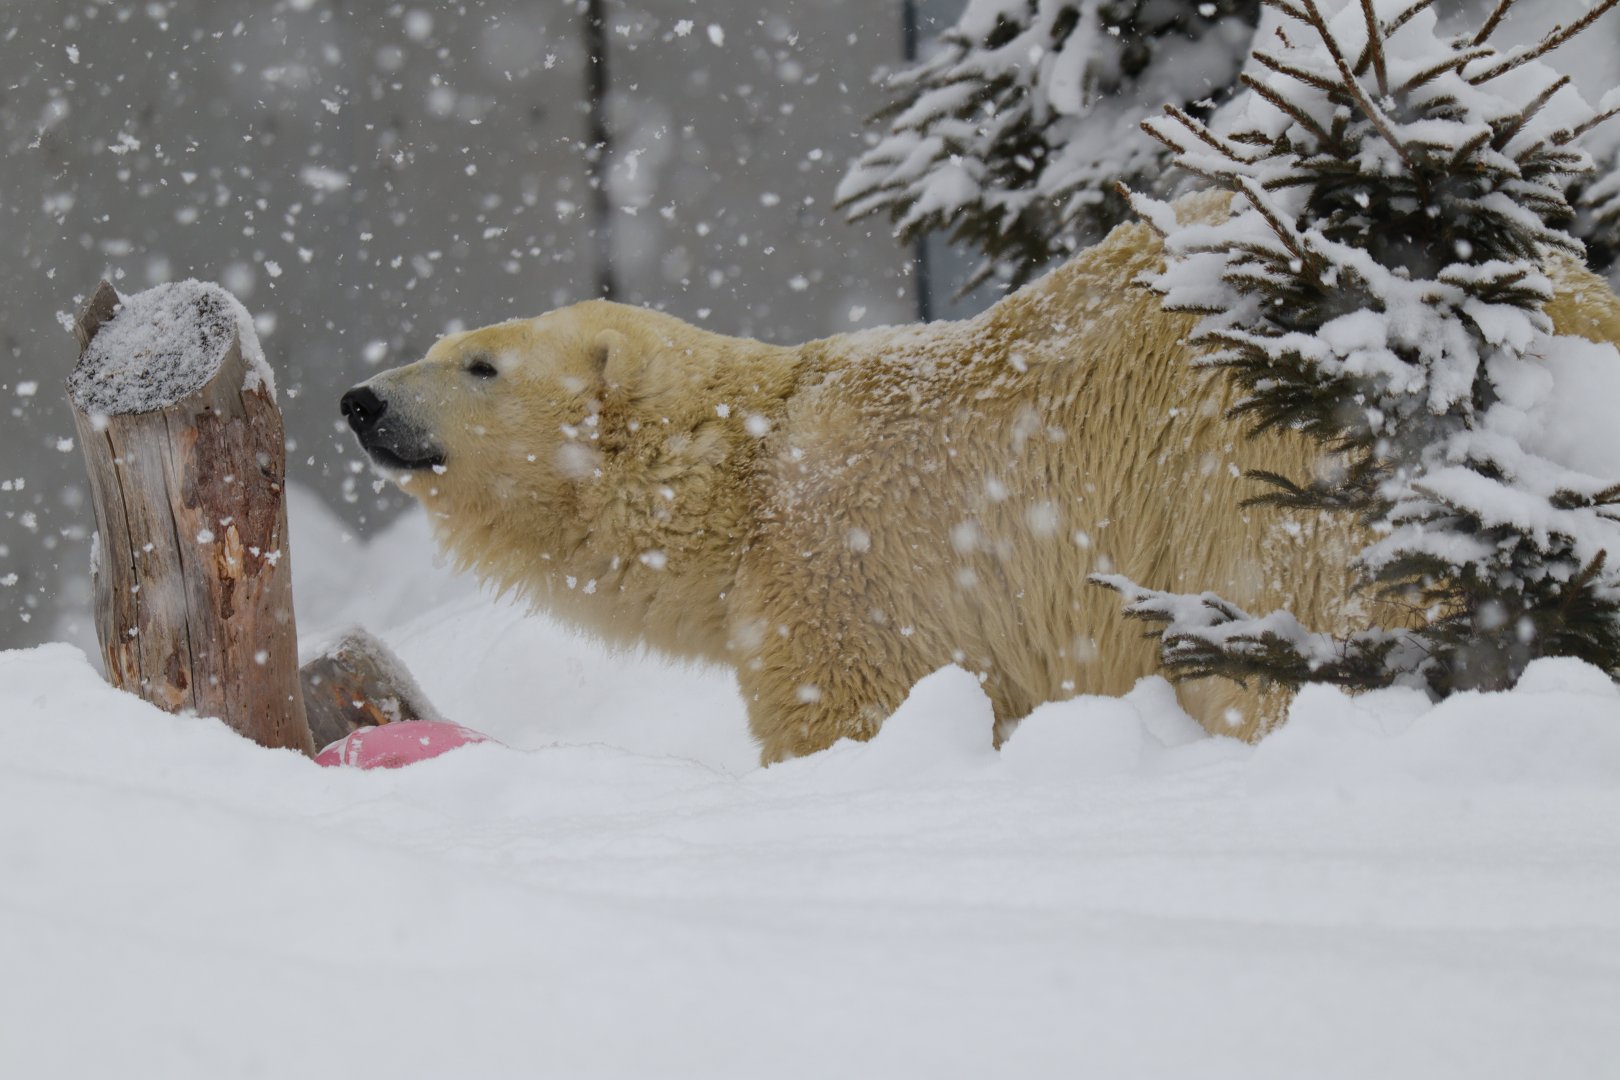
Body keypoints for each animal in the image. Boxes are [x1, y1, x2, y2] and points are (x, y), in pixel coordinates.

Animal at [341, 190, 1620, 763]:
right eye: (447, 344)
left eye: (479, 362)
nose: (360, 400)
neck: (754, 463)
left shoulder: (842, 563)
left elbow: (847, 712)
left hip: (1263, 468)